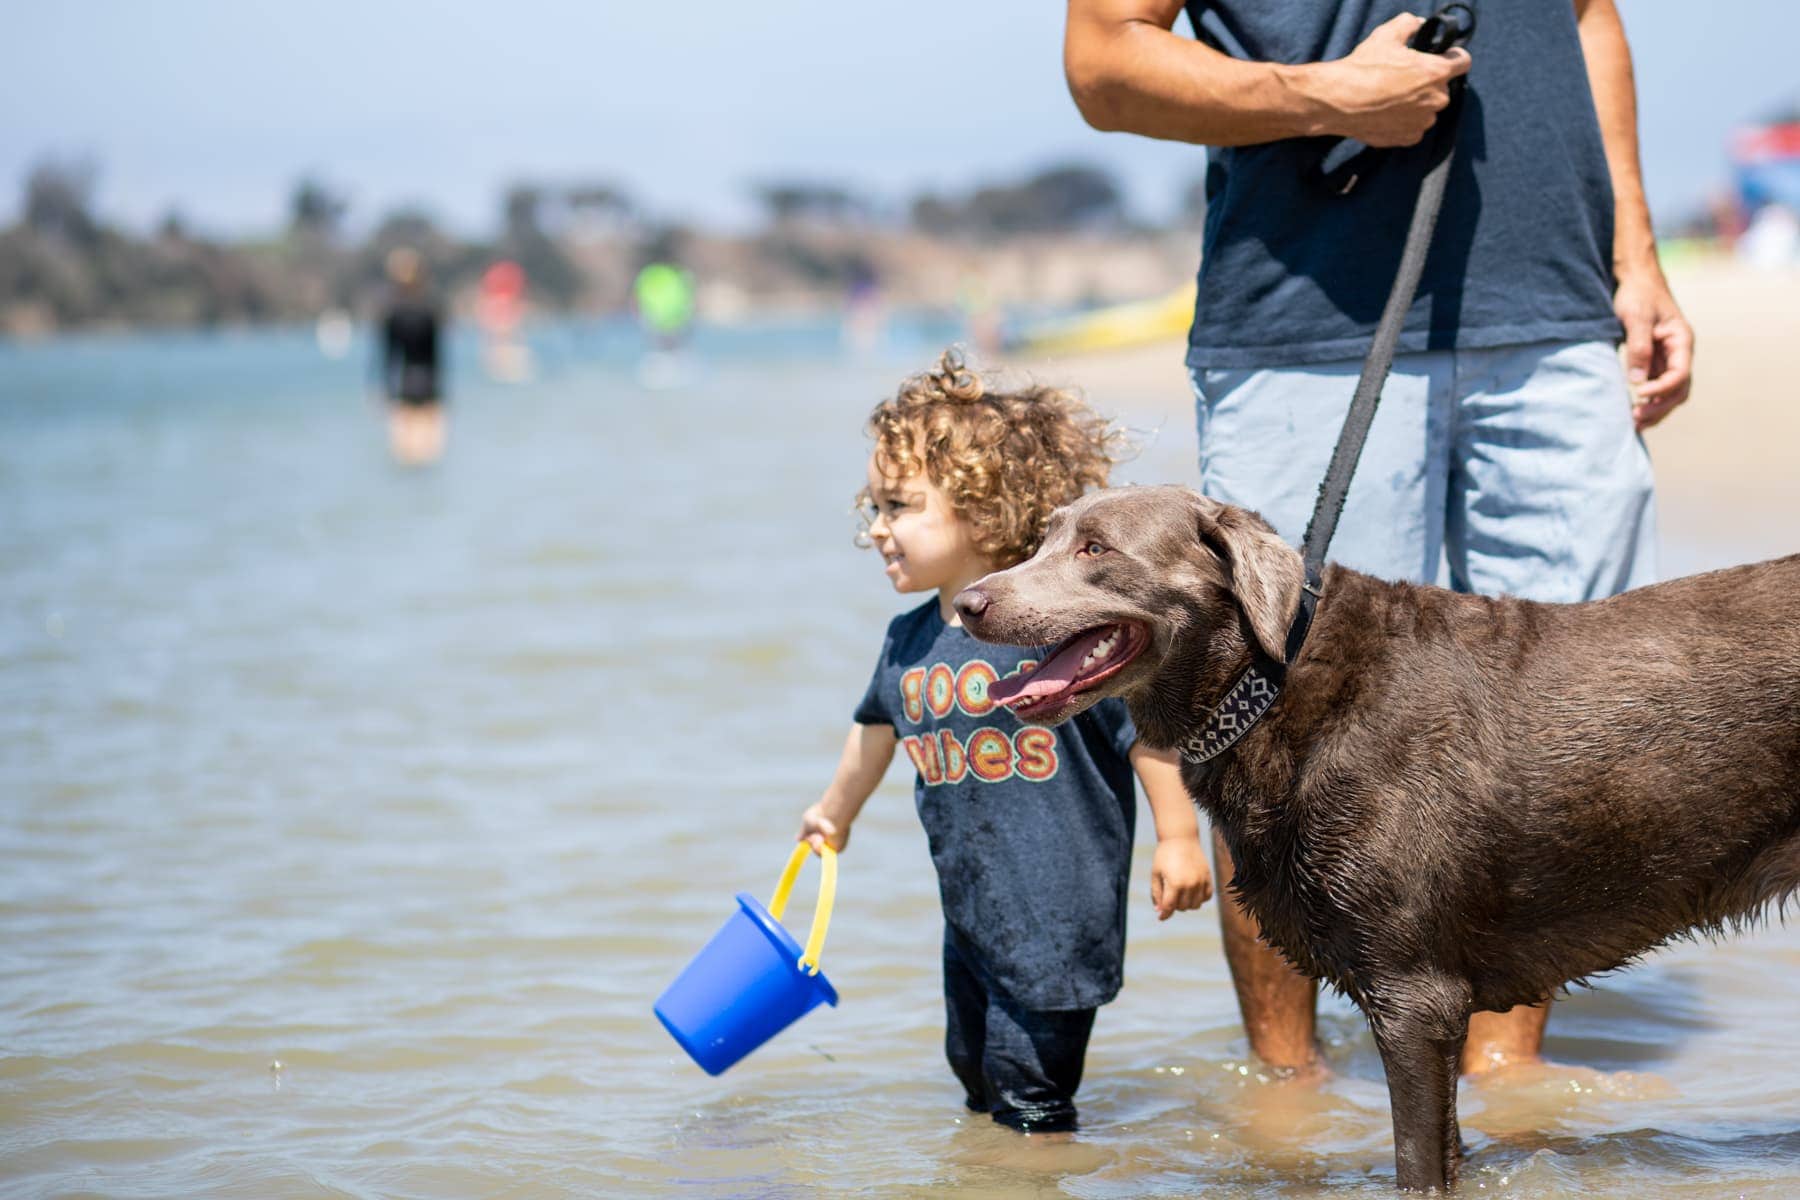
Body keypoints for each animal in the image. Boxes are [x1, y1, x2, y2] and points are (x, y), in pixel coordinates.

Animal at [957, 485, 1800, 1194]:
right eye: (1044, 538)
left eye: (1095, 548)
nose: (967, 602)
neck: (1269, 684)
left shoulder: (1416, 997)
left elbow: (1417, 1163)